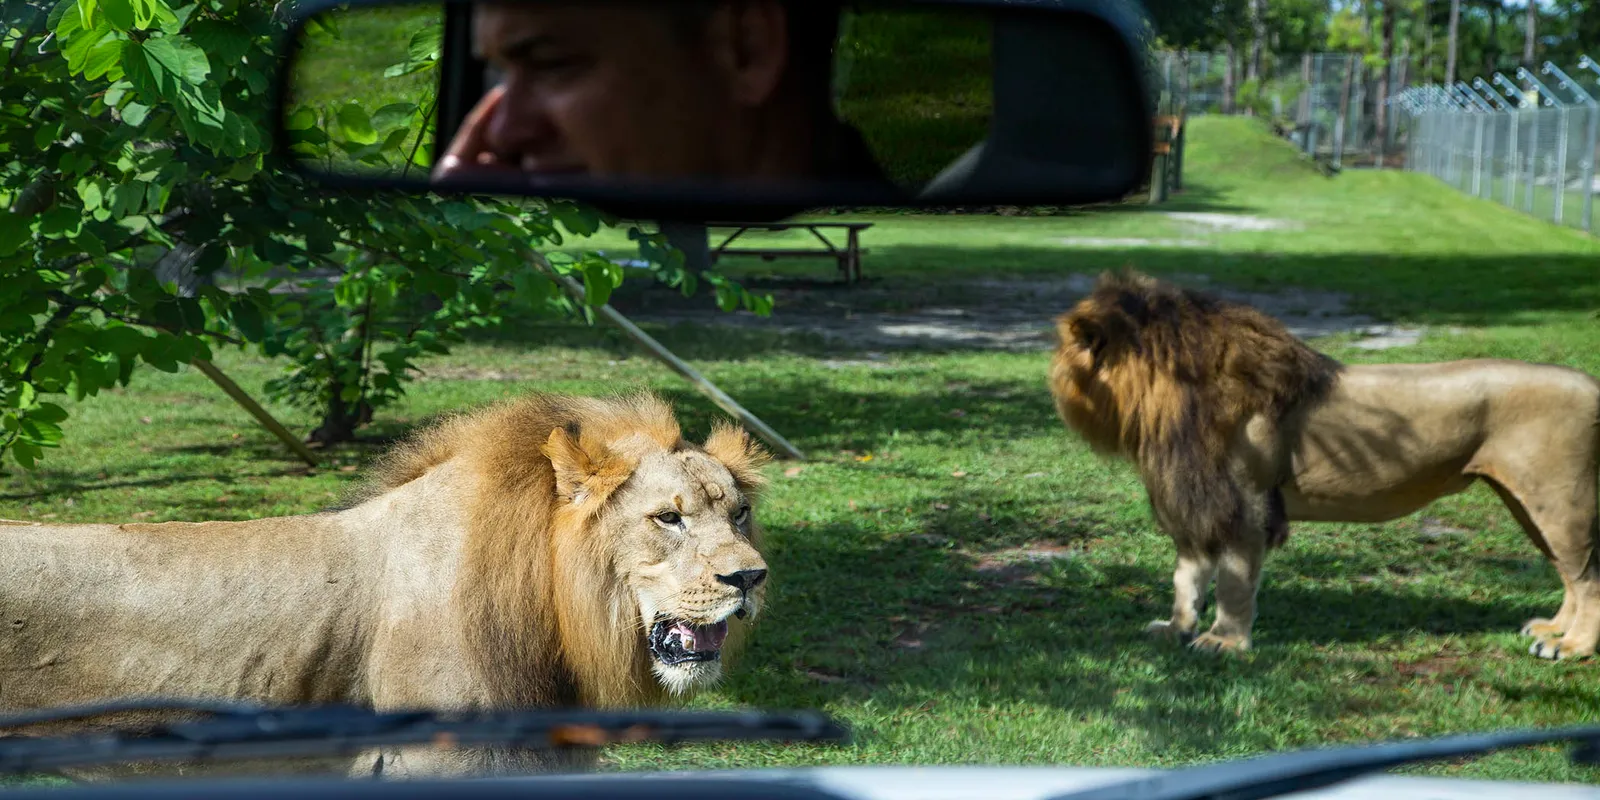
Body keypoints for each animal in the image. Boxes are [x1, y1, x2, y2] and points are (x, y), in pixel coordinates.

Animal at [1049, 271, 1600, 660]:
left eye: (1061, 353)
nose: (1050, 380)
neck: (1162, 405)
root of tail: (1591, 383)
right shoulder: (1199, 504)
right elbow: (1186, 580)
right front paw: (1175, 630)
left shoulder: (1246, 506)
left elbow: (1232, 585)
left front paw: (1224, 643)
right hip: (1531, 508)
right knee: (1570, 576)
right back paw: (1553, 630)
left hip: (1559, 504)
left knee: (1587, 578)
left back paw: (1571, 647)